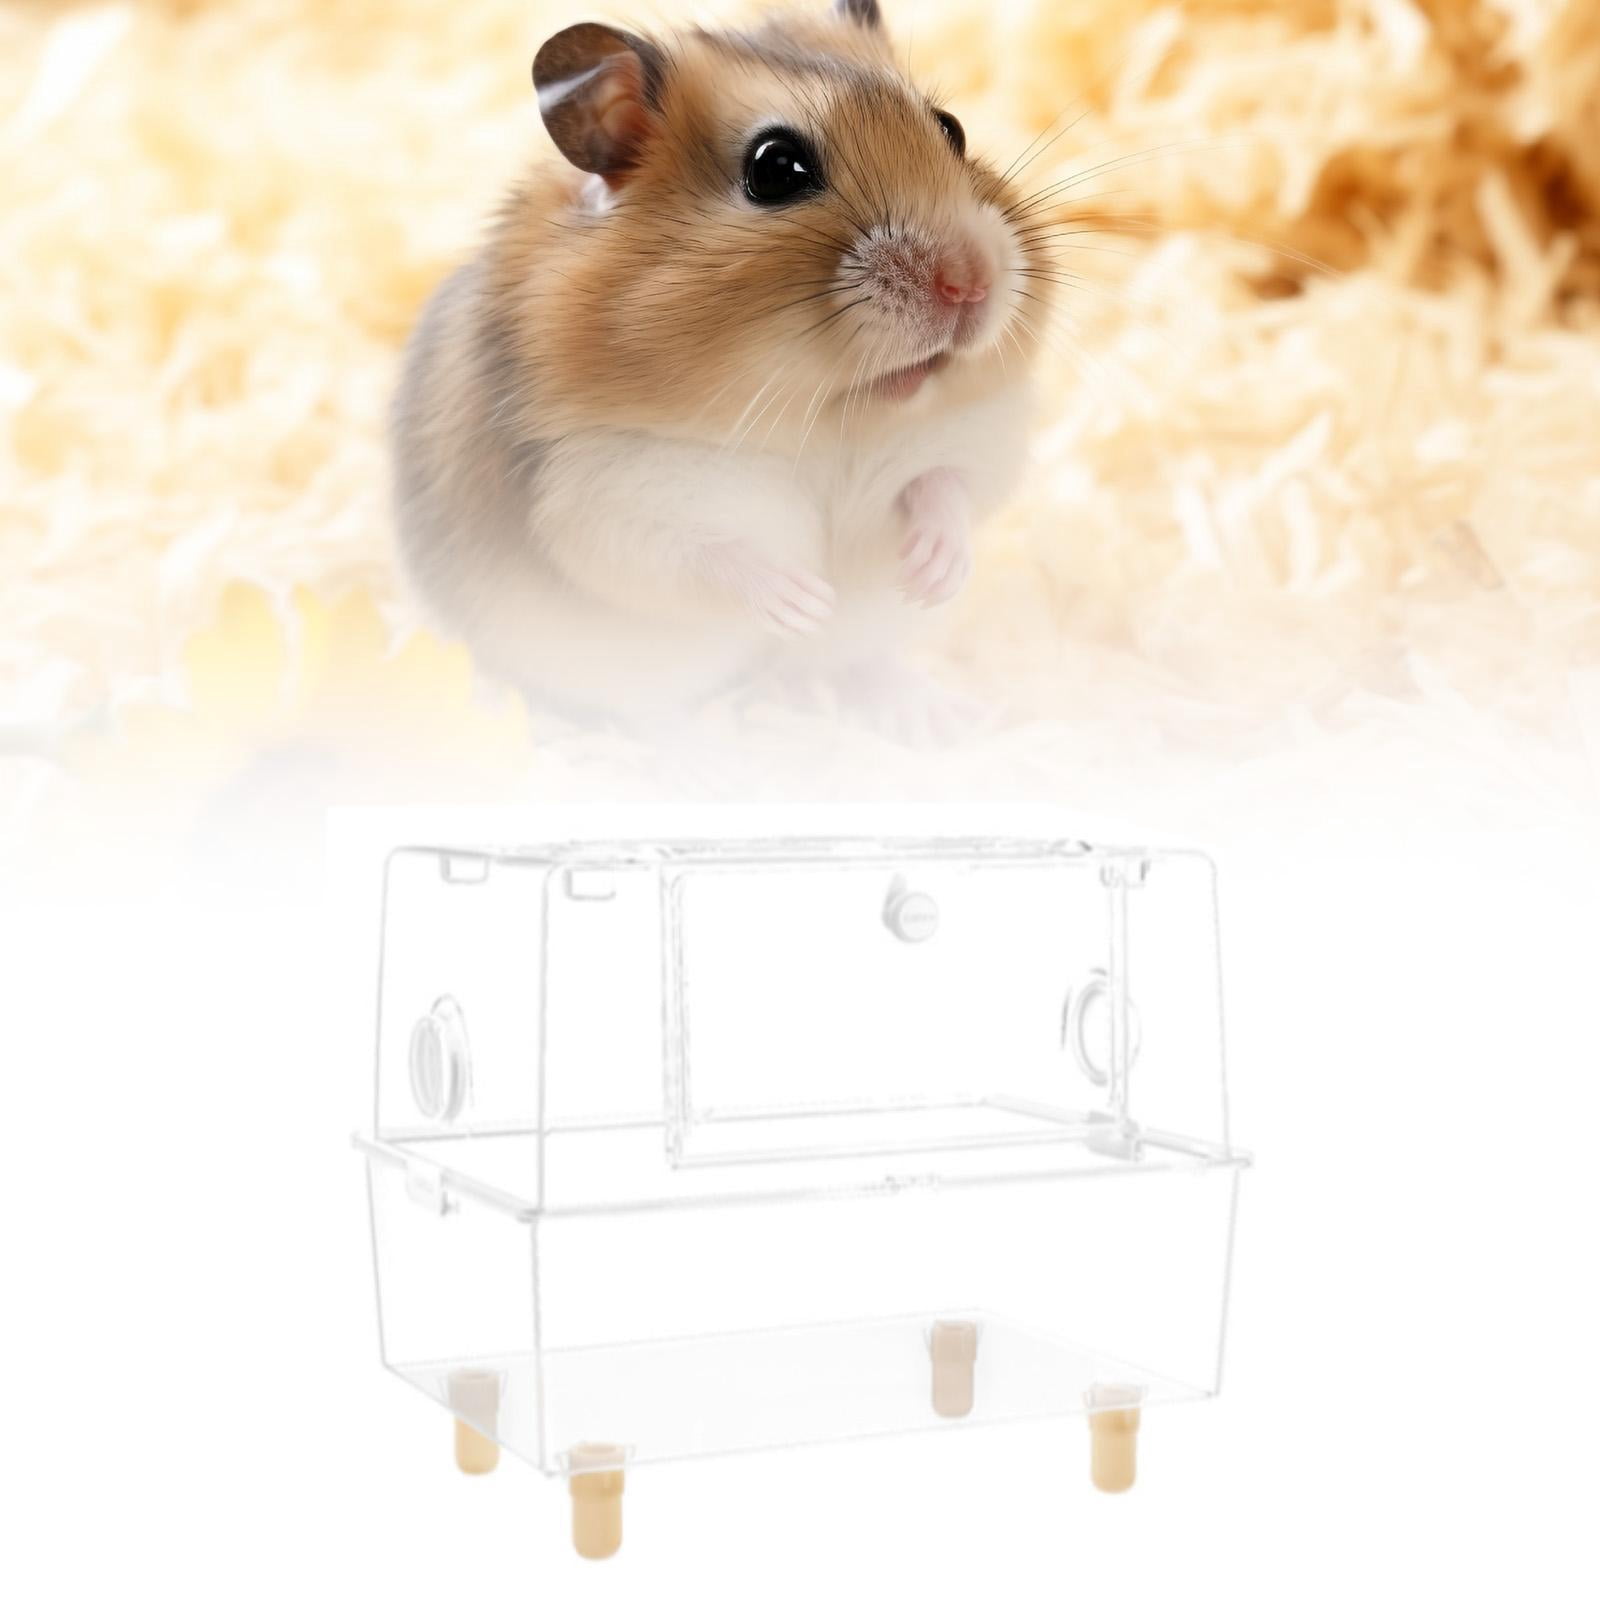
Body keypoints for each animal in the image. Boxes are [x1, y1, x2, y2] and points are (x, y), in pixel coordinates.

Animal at [392, 0, 1049, 720]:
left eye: (951, 128)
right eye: (776, 169)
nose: (970, 284)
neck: (828, 419)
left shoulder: (974, 436)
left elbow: (948, 486)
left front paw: (932, 574)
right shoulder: (602, 498)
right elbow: (708, 560)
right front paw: (806, 602)